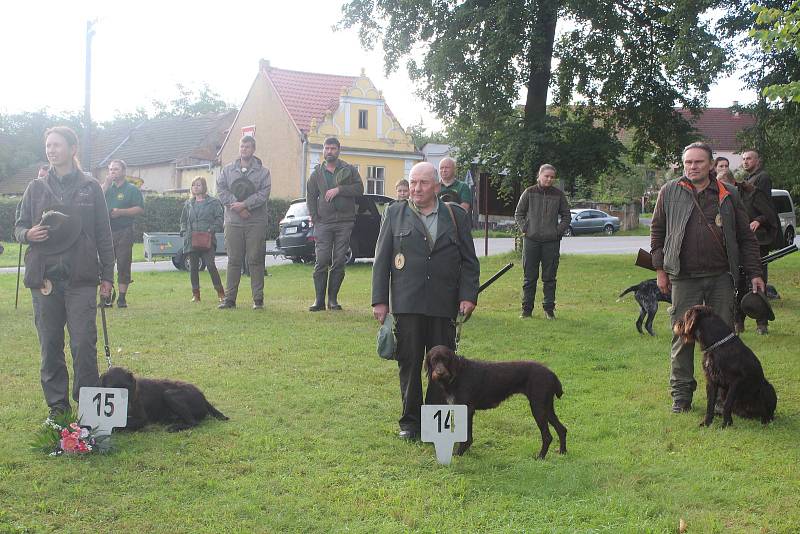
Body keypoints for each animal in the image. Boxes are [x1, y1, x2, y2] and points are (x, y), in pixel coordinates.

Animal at [99, 366, 228, 434]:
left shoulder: (142, 419)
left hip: (169, 394)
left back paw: (175, 427)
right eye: (112, 388)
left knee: (193, 422)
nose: (128, 407)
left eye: (128, 387)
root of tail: (203, 397)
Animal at [424, 348, 568, 460]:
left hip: (538, 407)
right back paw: (562, 452)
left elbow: (467, 438)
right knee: (562, 429)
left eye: (445, 359)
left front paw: (458, 454)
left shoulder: (468, 410)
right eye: (434, 360)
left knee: (547, 436)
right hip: (546, 407)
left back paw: (541, 457)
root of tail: (552, 374)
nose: (440, 373)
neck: (457, 374)